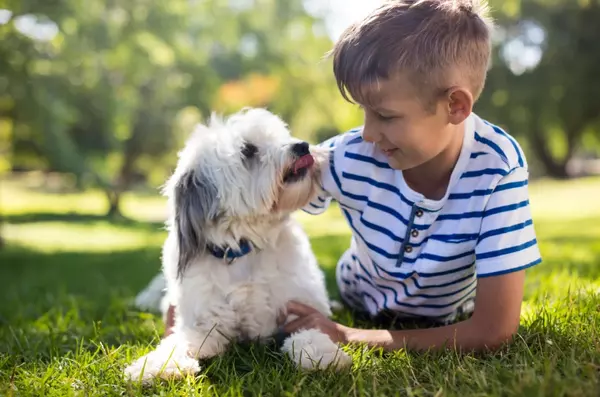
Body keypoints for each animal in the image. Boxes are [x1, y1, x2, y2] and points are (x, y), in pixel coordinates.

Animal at [126, 107, 352, 380]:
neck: (247, 248)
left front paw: (323, 354)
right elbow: (176, 342)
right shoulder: (204, 325)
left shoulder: (298, 310)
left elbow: (310, 332)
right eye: (249, 150)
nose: (302, 146)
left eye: (280, 135)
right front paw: (153, 367)